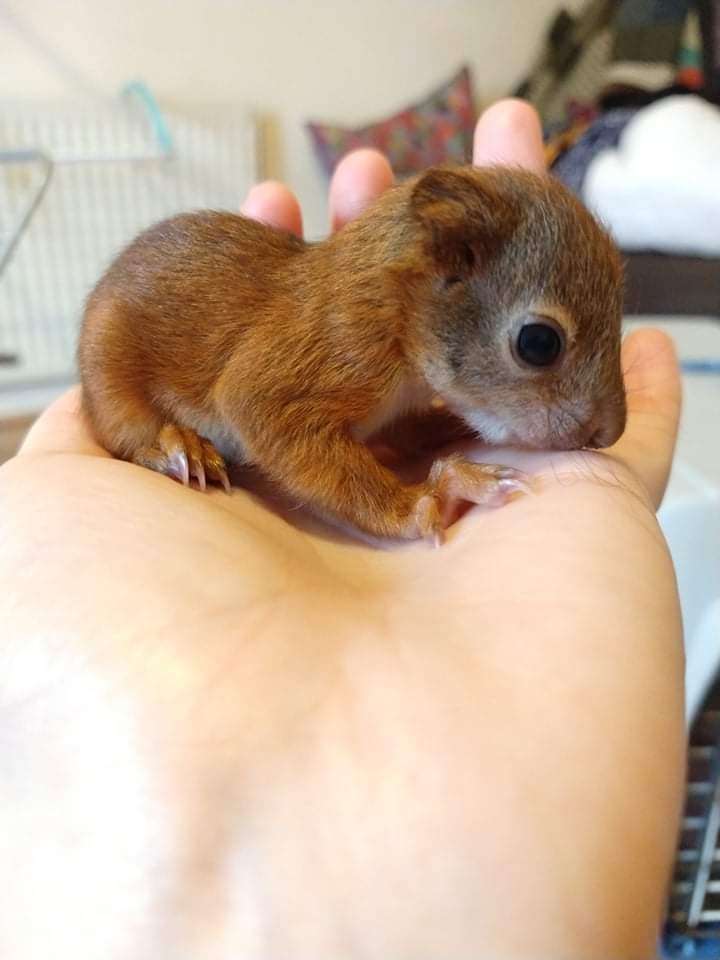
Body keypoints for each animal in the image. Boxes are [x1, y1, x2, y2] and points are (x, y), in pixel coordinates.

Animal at [78, 165, 626, 543]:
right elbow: (263, 411)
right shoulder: (328, 350)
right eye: (539, 343)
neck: (395, 313)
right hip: (110, 375)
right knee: (127, 432)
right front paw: (425, 499)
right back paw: (177, 445)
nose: (610, 432)